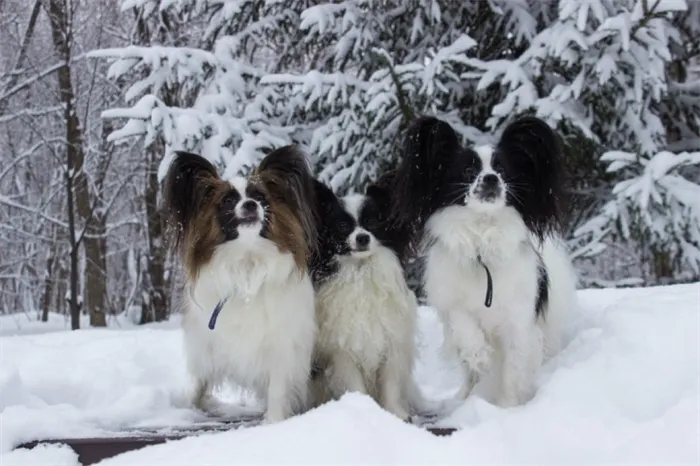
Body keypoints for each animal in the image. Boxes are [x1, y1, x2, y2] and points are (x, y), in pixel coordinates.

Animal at [163, 147, 318, 424]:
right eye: (227, 201)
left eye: (260, 197)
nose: (250, 204)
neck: (247, 263)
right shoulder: (208, 342)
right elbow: (200, 380)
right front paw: (191, 408)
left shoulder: (283, 344)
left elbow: (278, 388)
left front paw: (274, 422)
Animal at [310, 179, 422, 418]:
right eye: (343, 226)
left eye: (372, 222)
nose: (362, 237)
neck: (362, 272)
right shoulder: (344, 351)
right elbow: (356, 386)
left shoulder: (390, 344)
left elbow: (390, 385)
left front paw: (395, 414)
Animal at [386, 116, 576, 408]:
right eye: (467, 171)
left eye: (502, 170)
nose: (490, 178)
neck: (483, 239)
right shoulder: (451, 301)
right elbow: (465, 327)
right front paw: (480, 354)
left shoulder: (518, 321)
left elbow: (513, 370)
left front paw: (507, 407)